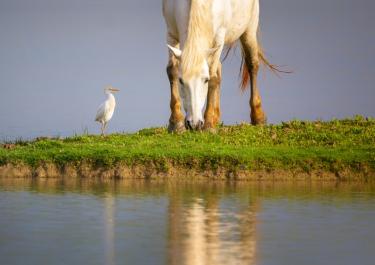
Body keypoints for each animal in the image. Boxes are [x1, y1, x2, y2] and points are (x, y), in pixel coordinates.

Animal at [163, 0, 278, 131]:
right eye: (181, 81)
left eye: (205, 80)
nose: (194, 124)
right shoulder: (171, 33)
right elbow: (172, 70)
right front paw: (176, 122)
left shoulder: (219, 38)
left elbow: (213, 78)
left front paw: (208, 125)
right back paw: (215, 117)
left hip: (249, 28)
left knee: (252, 65)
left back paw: (258, 117)